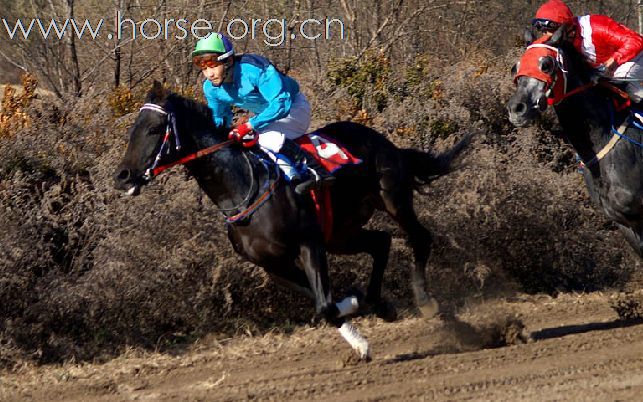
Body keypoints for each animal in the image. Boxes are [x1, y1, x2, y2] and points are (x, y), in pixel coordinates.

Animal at [114, 82, 468, 358]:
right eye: (133, 130)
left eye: (153, 129)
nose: (123, 176)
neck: (243, 187)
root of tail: (383, 140)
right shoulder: (274, 265)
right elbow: (323, 302)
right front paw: (358, 321)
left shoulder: (309, 244)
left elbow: (325, 305)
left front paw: (359, 323)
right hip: (340, 233)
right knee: (381, 242)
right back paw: (380, 302)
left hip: (391, 197)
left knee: (419, 238)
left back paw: (425, 301)